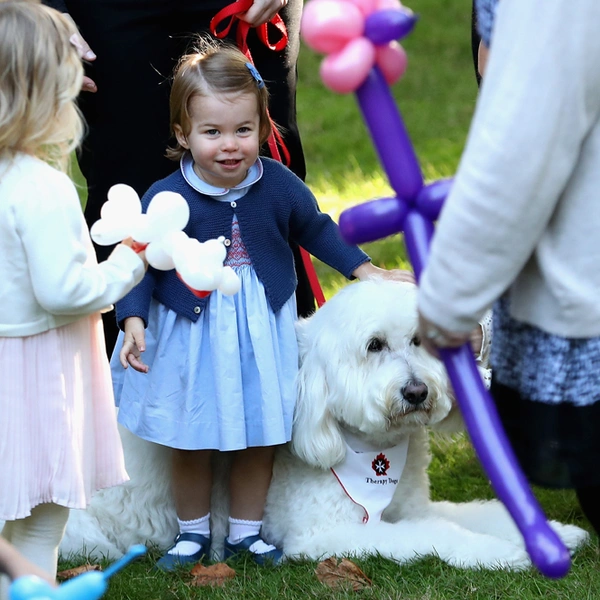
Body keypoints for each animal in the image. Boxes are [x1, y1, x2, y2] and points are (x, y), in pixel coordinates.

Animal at [58, 278, 588, 568]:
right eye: (374, 346)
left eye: (419, 341)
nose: (417, 392)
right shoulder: (329, 536)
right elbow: (437, 535)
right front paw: (506, 553)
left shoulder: (410, 508)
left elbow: (476, 512)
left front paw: (555, 535)